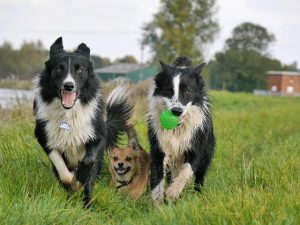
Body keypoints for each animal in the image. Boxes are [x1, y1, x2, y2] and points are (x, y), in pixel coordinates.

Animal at [32, 37, 132, 207]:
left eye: (79, 70)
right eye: (59, 69)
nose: (68, 85)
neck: (68, 114)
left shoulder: (97, 136)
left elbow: (87, 162)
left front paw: (80, 178)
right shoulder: (45, 137)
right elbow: (63, 172)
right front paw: (73, 182)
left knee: (90, 180)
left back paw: (87, 205)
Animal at [148, 56, 216, 206]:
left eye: (187, 92)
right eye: (169, 90)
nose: (176, 111)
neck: (177, 129)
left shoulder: (196, 145)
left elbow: (186, 171)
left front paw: (173, 192)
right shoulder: (159, 146)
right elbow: (158, 176)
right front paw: (159, 204)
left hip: (207, 151)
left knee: (200, 176)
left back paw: (197, 195)